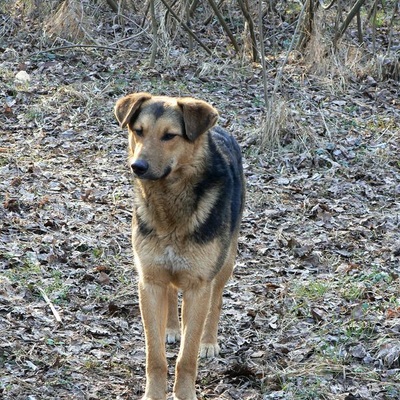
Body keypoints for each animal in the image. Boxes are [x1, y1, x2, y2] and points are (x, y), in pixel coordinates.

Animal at [112, 92, 244, 398]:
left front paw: (184, 393)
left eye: (169, 136)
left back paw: (209, 340)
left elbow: (187, 356)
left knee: (216, 300)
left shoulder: (198, 285)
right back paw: (172, 327)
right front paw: (153, 393)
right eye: (139, 131)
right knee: (172, 294)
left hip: (226, 262)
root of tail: (220, 129)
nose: (138, 167)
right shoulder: (149, 281)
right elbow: (155, 355)